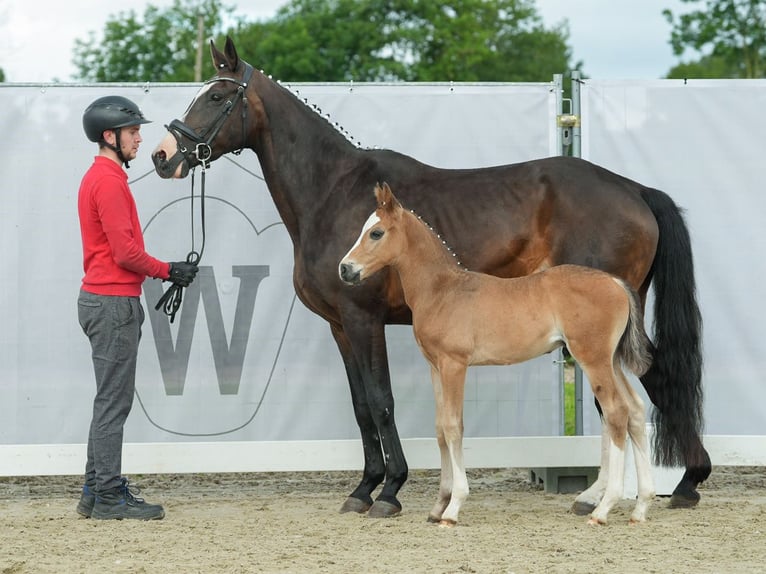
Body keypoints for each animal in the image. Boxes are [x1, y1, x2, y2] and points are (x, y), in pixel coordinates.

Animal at [340, 186, 656, 532]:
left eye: (376, 232)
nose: (345, 269)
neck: (442, 290)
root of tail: (615, 283)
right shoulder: (435, 367)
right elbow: (439, 430)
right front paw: (438, 506)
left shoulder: (454, 365)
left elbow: (453, 426)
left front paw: (453, 507)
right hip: (612, 361)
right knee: (635, 411)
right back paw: (640, 507)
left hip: (593, 359)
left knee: (616, 412)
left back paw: (603, 508)